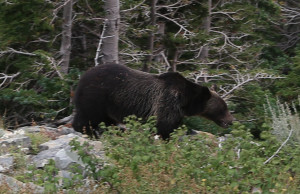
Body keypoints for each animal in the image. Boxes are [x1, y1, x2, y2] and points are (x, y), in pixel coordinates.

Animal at [72, 64, 234, 139]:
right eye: (223, 108)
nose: (231, 121)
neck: (186, 101)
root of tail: (82, 76)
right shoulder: (168, 102)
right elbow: (165, 127)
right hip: (97, 96)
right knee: (90, 117)